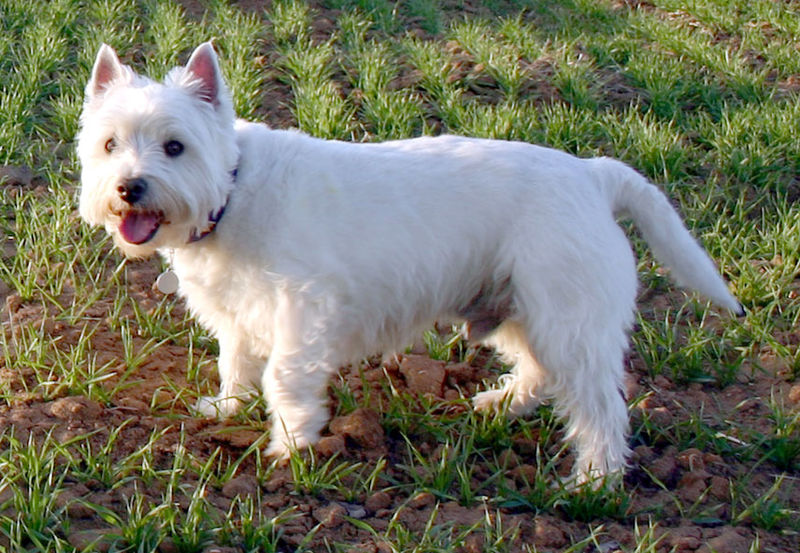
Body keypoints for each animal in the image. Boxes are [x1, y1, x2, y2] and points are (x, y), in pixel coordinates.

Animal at [76, 43, 744, 484]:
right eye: (110, 144)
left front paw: (291, 445)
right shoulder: (240, 315)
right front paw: (228, 409)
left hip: (567, 314)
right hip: (517, 305)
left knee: (600, 405)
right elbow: (236, 364)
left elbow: (284, 377)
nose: (130, 188)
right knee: (539, 371)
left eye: (175, 146)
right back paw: (498, 405)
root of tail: (593, 174)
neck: (232, 192)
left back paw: (593, 482)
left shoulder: (304, 311)